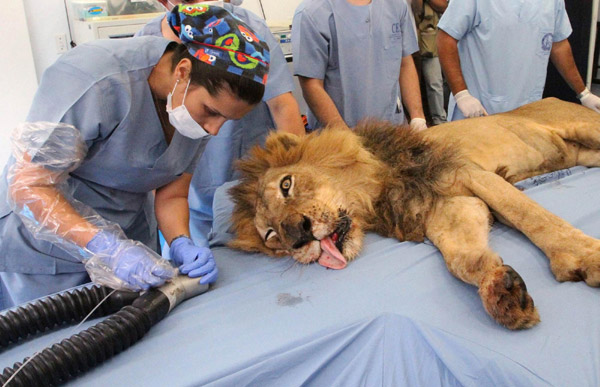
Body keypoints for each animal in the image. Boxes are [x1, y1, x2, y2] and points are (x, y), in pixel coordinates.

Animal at [227, 98, 600, 330]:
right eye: (271, 236)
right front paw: (501, 293)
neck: (378, 197)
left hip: (585, 128)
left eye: (286, 185)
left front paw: (585, 257)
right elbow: (462, 260)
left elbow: (528, 215)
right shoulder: (447, 208)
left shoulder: (466, 172)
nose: (298, 235)